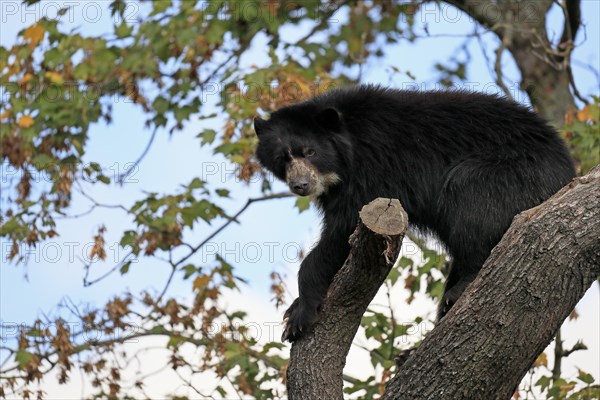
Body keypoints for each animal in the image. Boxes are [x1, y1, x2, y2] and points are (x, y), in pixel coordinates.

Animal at [252, 86, 572, 342]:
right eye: (282, 158)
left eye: (309, 152)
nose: (300, 185)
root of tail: (566, 170)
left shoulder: (373, 171)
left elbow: (342, 229)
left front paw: (297, 316)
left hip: (511, 175)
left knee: (470, 202)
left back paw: (461, 286)